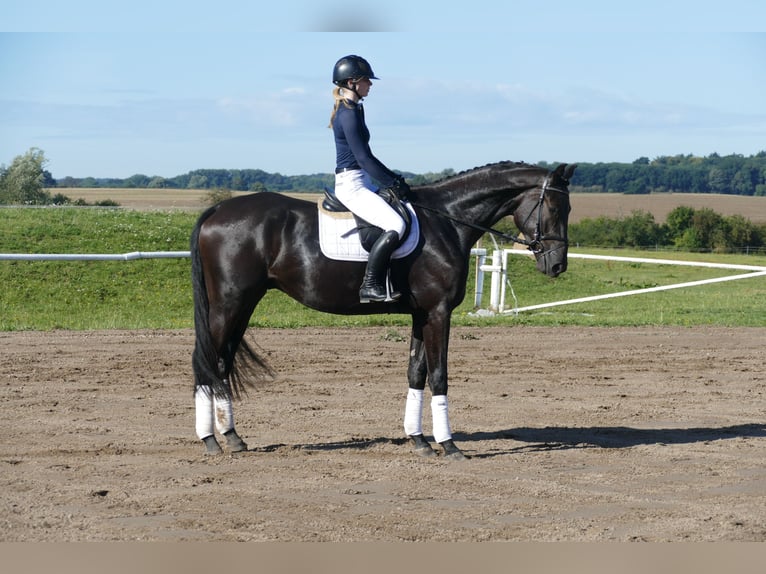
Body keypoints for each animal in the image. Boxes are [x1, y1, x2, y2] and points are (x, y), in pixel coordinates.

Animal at [190, 161, 576, 460]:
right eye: (555, 208)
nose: (557, 265)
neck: (447, 221)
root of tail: (218, 210)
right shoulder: (438, 312)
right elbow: (439, 375)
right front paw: (449, 445)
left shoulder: (422, 314)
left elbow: (416, 373)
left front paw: (419, 441)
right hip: (229, 304)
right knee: (205, 362)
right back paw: (209, 440)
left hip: (243, 304)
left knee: (220, 363)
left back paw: (232, 438)